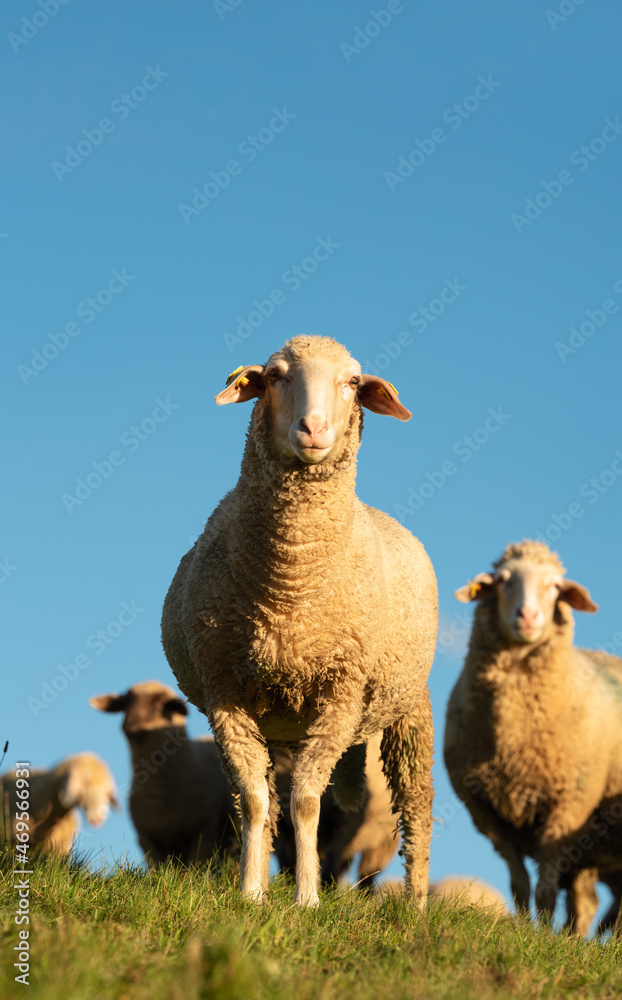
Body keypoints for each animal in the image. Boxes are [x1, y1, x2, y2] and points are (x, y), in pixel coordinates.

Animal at [90, 680, 239, 868]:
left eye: (162, 703)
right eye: (125, 701)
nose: (130, 726)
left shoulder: (203, 832)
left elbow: (195, 867)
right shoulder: (147, 838)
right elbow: (158, 868)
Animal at [273, 732, 399, 890]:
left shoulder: (346, 820)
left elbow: (333, 856)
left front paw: (328, 888)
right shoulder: (278, 820)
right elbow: (286, 860)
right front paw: (288, 885)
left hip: (383, 840)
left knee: (368, 874)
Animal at [444, 539, 622, 935]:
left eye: (555, 586)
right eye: (503, 580)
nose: (528, 617)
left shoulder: (567, 811)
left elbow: (545, 889)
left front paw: (542, 935)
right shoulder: (489, 815)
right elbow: (520, 885)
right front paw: (524, 927)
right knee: (588, 903)